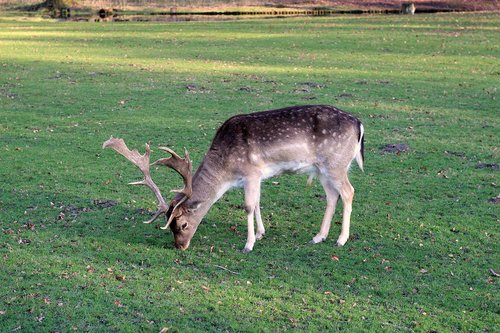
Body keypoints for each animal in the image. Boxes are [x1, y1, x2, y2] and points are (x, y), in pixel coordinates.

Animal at [101, 104, 364, 252]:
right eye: (170, 226)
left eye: (183, 224)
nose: (180, 247)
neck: (227, 172)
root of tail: (359, 124)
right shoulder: (257, 177)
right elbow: (257, 203)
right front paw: (260, 233)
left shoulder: (251, 172)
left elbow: (248, 206)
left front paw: (248, 245)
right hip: (322, 169)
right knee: (331, 196)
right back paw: (318, 237)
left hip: (336, 163)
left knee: (349, 192)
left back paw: (341, 240)